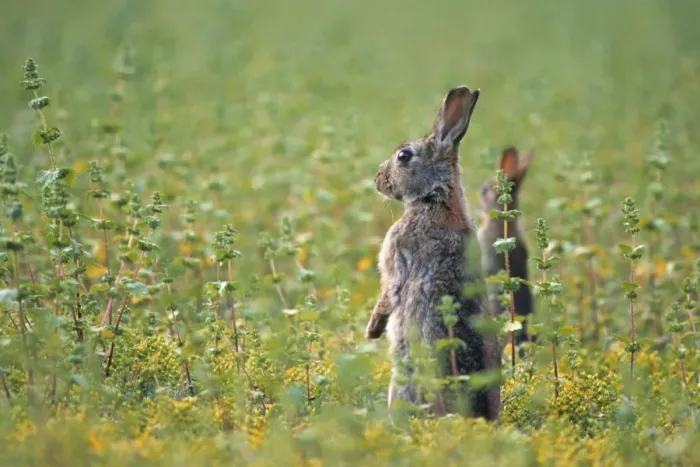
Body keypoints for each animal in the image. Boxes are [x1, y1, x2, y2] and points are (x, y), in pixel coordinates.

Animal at [364, 85, 501, 420]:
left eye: (404, 156)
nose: (378, 179)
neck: (435, 198)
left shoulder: (397, 258)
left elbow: (389, 291)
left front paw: (372, 331)